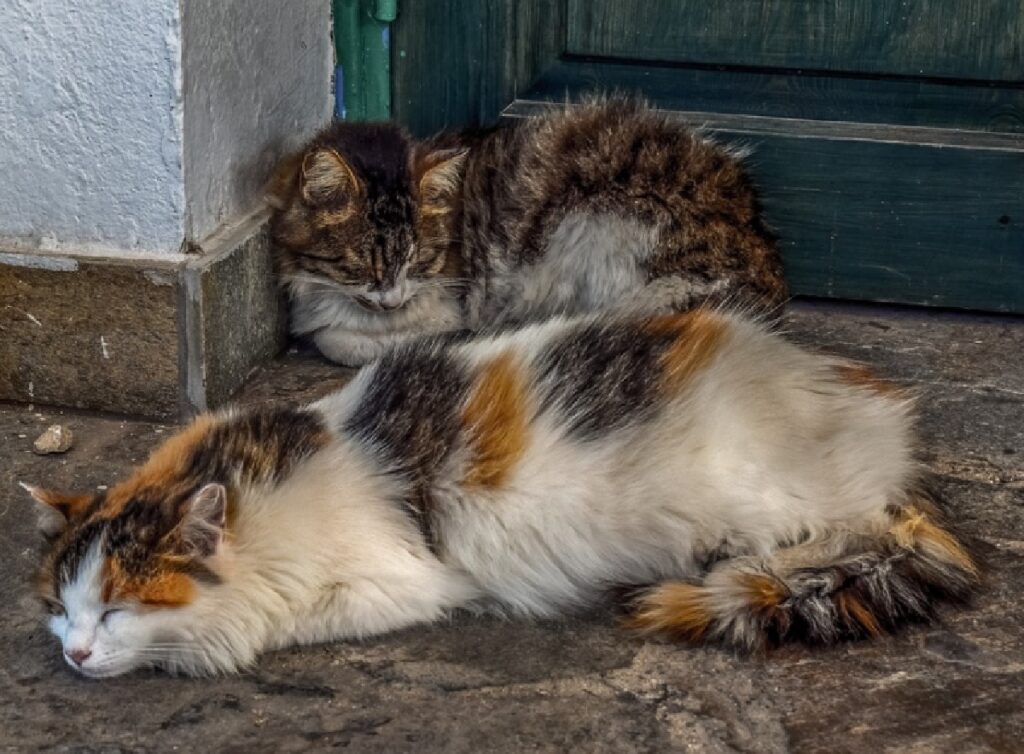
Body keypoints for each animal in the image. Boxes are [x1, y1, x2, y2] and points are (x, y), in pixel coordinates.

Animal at [22, 307, 974, 676]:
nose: (74, 653)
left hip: (770, 503)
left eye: (117, 609)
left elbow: (276, 619)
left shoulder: (402, 582)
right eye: (61, 610)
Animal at [266, 97, 782, 364]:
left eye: (419, 260)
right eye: (361, 264)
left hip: (598, 226)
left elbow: (339, 339)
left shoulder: (449, 303)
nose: (392, 298)